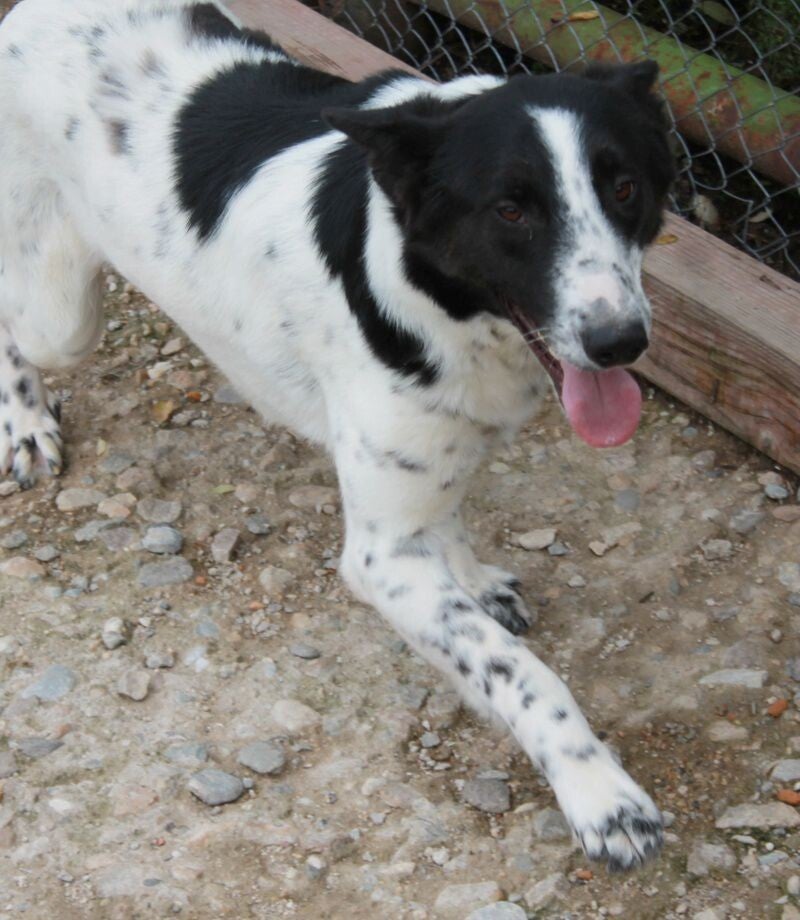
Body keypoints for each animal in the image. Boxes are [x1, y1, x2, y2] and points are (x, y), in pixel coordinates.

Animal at [0, 0, 675, 871]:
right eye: (511, 209)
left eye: (625, 188)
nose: (620, 342)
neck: (450, 308)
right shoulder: (380, 560)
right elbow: (520, 673)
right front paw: (599, 794)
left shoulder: (435, 458)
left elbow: (452, 526)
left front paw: (474, 577)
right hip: (58, 315)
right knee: (16, 329)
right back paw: (24, 423)